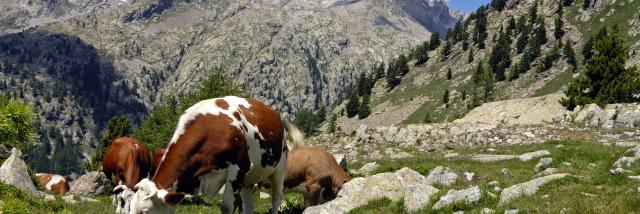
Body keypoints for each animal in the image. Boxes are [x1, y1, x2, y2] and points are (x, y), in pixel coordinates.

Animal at [130, 96, 302, 214]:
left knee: (276, 196)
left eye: (145, 211)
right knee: (248, 202)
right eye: (130, 208)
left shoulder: (238, 169)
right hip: (249, 178)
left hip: (280, 167)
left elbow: (226, 206)